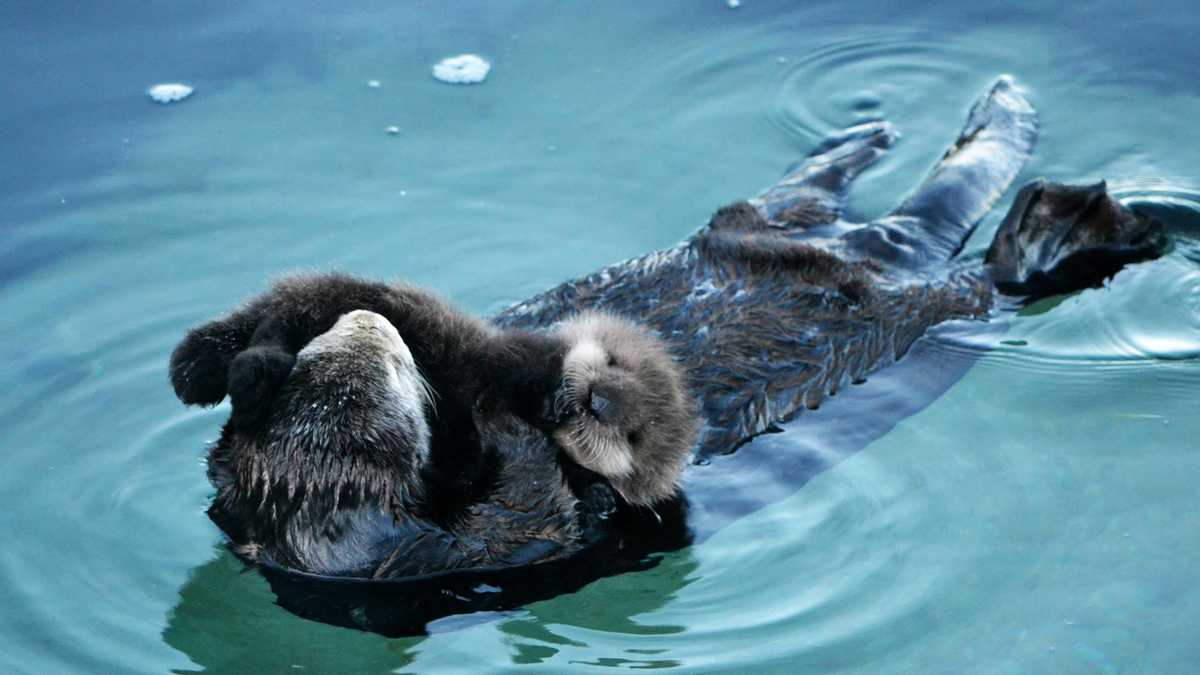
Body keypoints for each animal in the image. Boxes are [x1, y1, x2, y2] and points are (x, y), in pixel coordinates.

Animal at [172, 78, 1168, 633]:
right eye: (375, 391)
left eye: (335, 368)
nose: (362, 328)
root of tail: (883, 248)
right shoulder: (482, 542)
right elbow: (553, 488)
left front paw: (241, 355)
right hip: (940, 299)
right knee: (994, 267)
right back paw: (1070, 220)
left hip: (764, 222)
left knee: (812, 195)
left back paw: (865, 136)